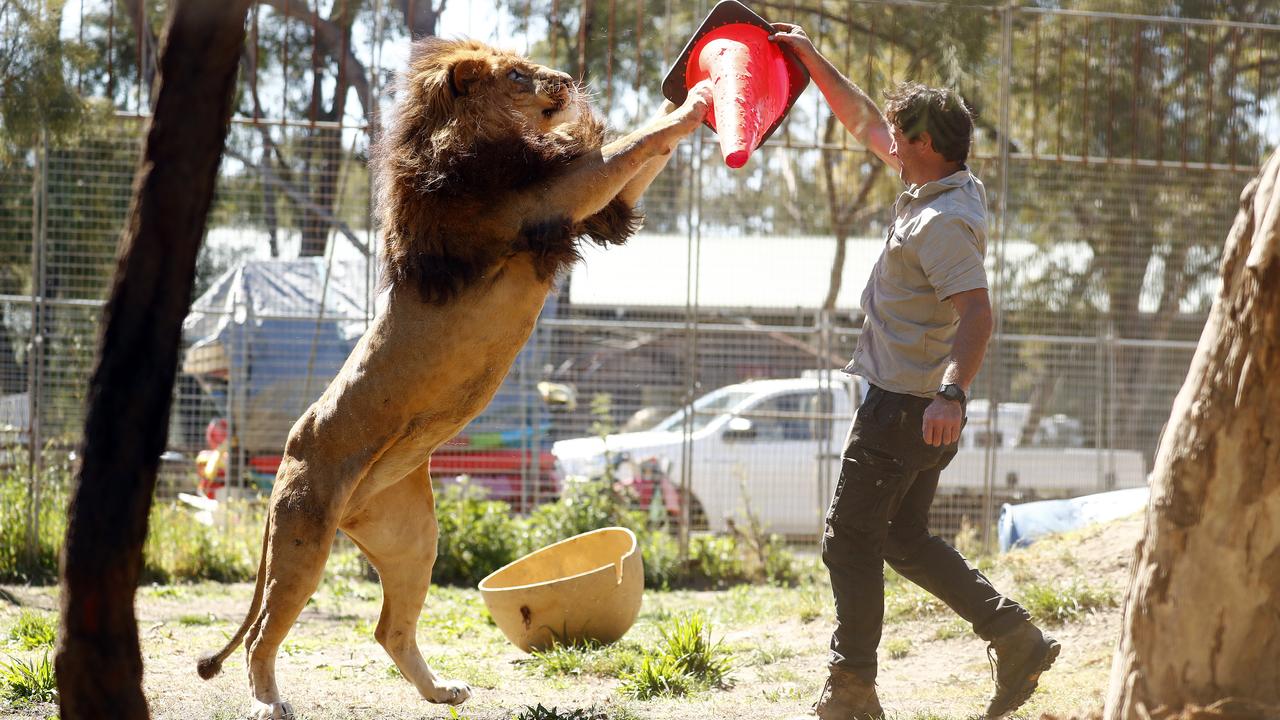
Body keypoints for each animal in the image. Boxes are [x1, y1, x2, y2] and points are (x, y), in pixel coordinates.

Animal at [195, 37, 716, 717]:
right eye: (518, 74)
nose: (567, 77)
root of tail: (287, 450)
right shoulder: (544, 201)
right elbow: (629, 145)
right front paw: (695, 103)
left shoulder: (577, 208)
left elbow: (634, 160)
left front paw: (685, 98)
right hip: (304, 537)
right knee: (264, 631)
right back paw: (267, 700)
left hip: (413, 537)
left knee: (389, 628)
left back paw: (440, 690)